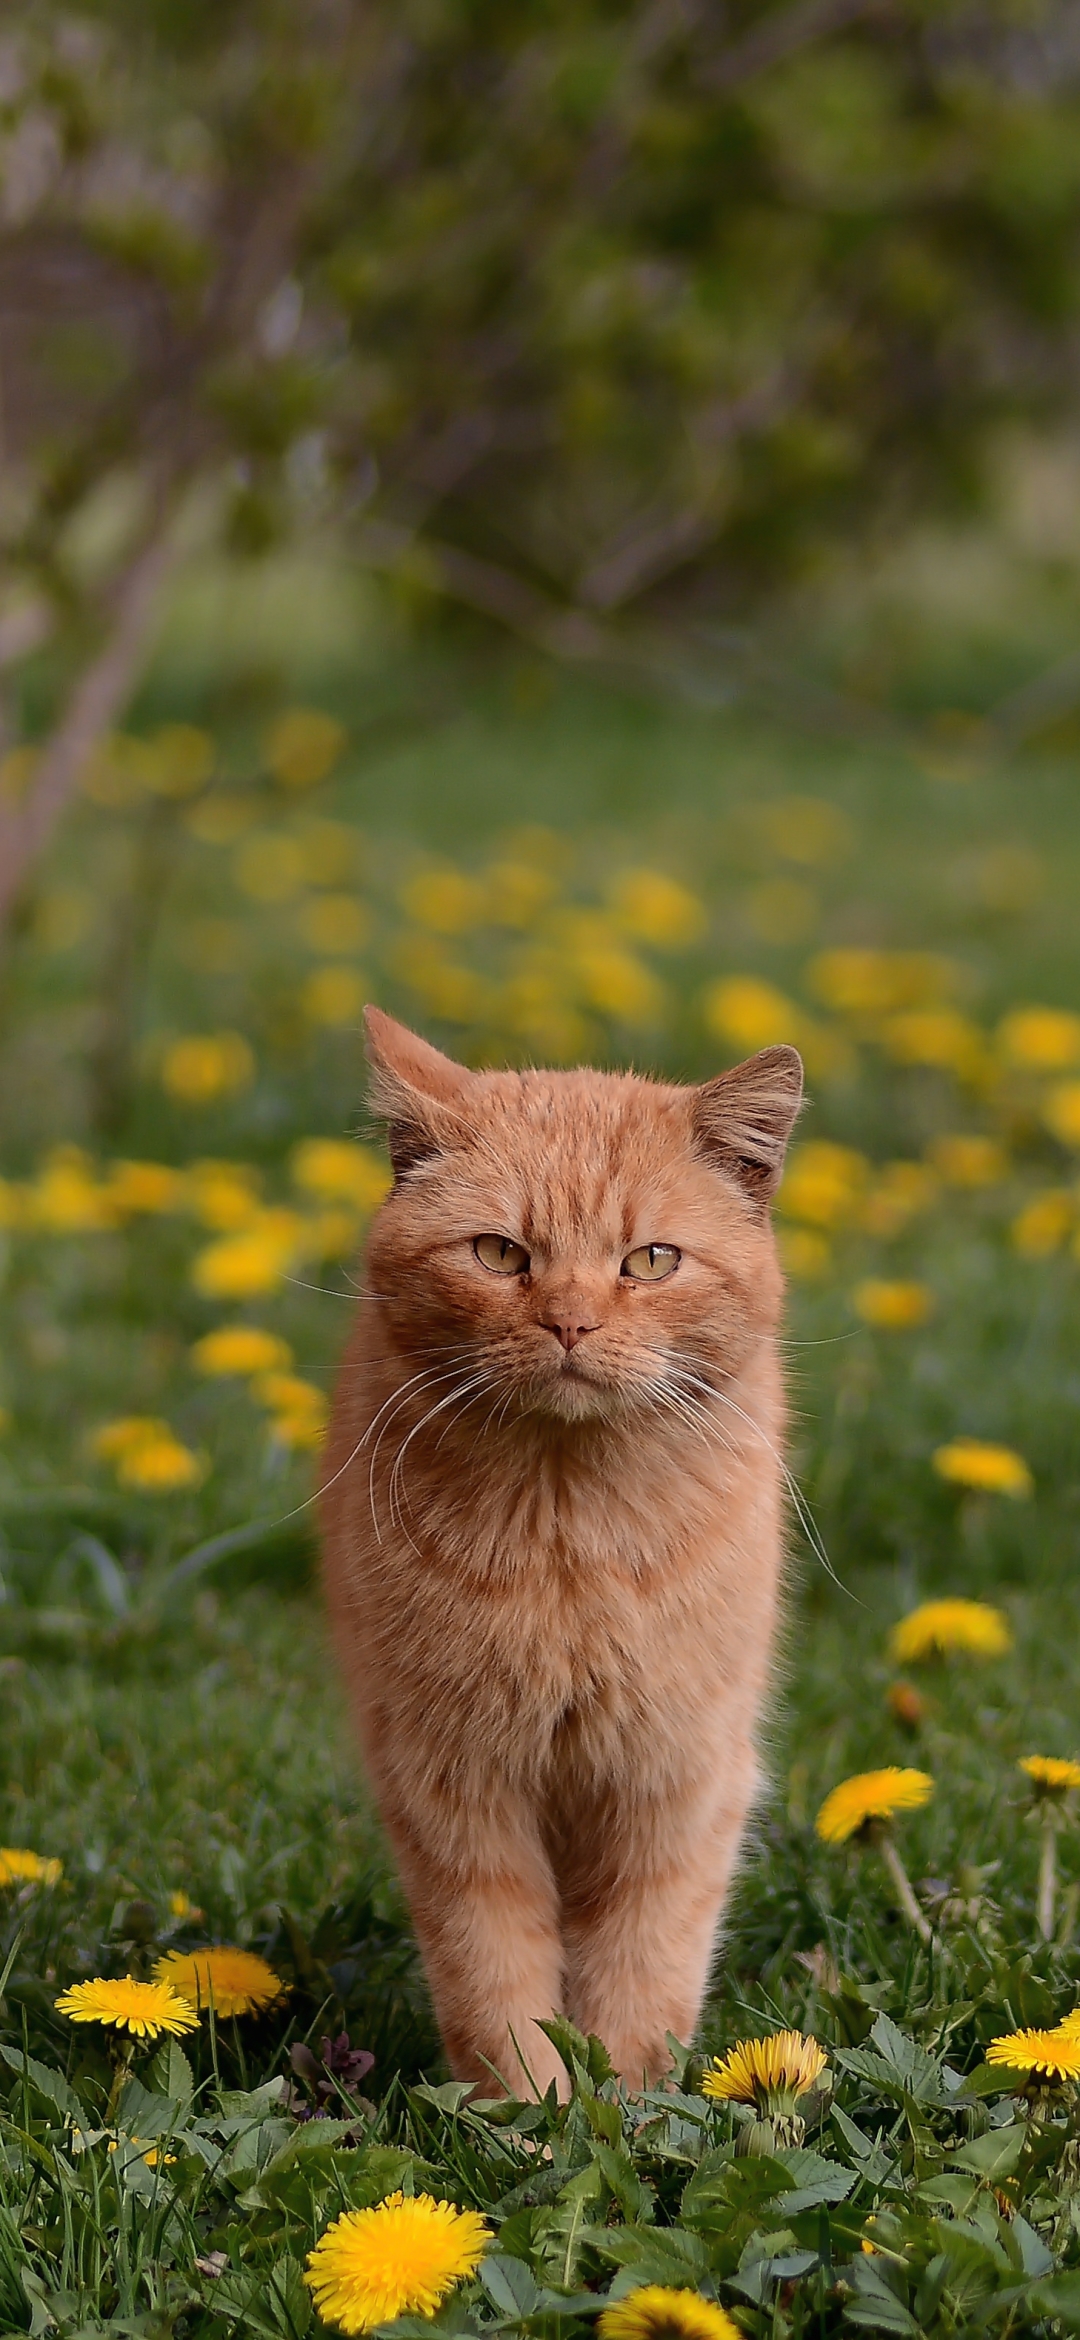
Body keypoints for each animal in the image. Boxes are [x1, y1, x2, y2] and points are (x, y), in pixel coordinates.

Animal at [320, 996, 799, 2096]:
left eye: (650, 1260)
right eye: (500, 1254)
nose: (570, 1323)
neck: (567, 1536)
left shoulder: (675, 1777)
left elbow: (645, 1965)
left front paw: (623, 2106)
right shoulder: (454, 1786)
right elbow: (493, 1973)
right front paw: (528, 2110)